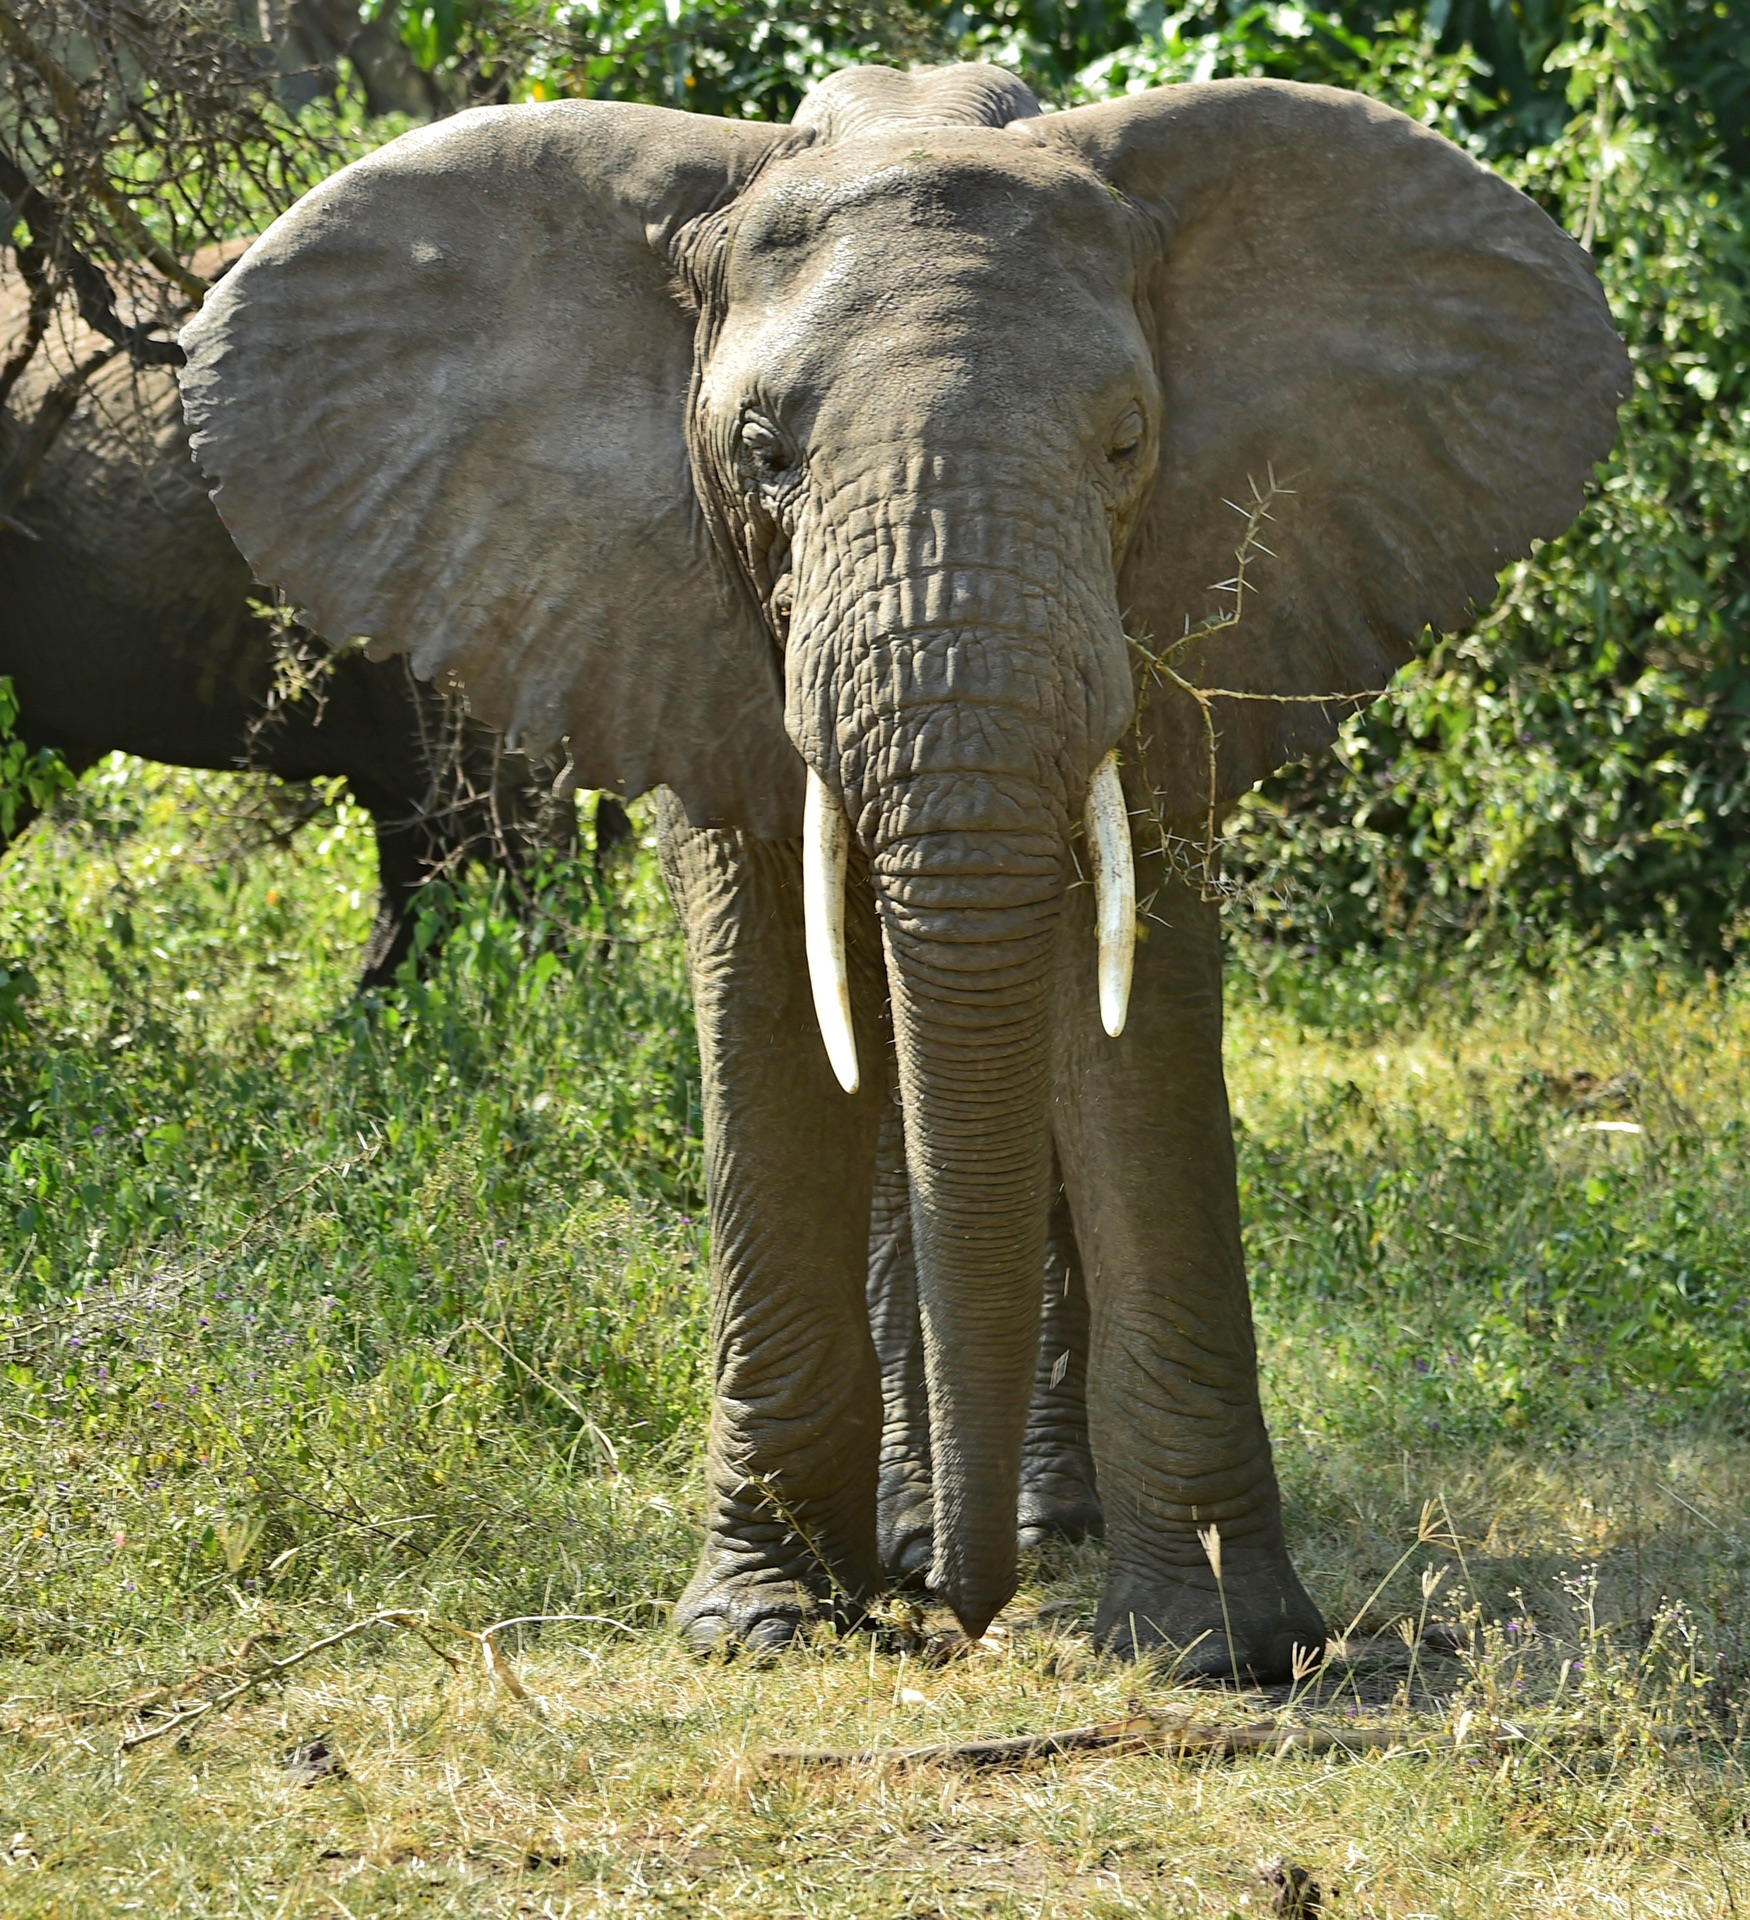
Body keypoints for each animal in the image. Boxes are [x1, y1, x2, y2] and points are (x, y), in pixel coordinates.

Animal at [177, 67, 1628, 1674]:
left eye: (1126, 443)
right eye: (762, 454)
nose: (968, 1620)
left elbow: (1129, 1039)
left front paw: (1220, 1649)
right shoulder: (672, 623)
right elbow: (768, 1012)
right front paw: (758, 1625)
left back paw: (1029, 1525)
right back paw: (914, 1533)